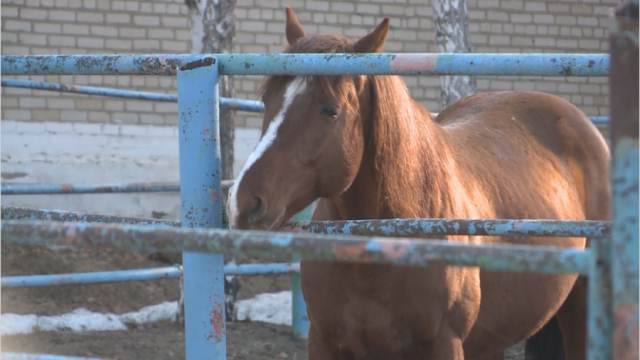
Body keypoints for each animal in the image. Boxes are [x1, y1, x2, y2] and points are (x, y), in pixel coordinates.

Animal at [226, 7, 608, 358]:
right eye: (267, 101)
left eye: (330, 110)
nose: (244, 202)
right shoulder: (324, 342)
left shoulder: (444, 345)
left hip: (580, 311)